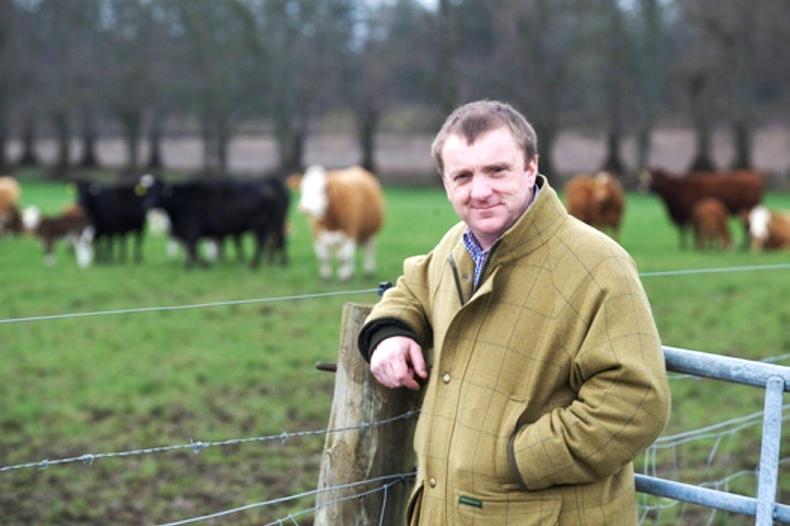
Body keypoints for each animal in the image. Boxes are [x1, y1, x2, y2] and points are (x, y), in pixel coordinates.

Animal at [151, 177, 289, 268]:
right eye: (149, 191)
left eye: (159, 191)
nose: (150, 204)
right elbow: (192, 248)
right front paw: (203, 264)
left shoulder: (192, 229)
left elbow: (191, 247)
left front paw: (193, 266)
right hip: (273, 225)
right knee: (274, 242)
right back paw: (274, 262)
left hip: (262, 226)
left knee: (263, 242)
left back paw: (255, 264)